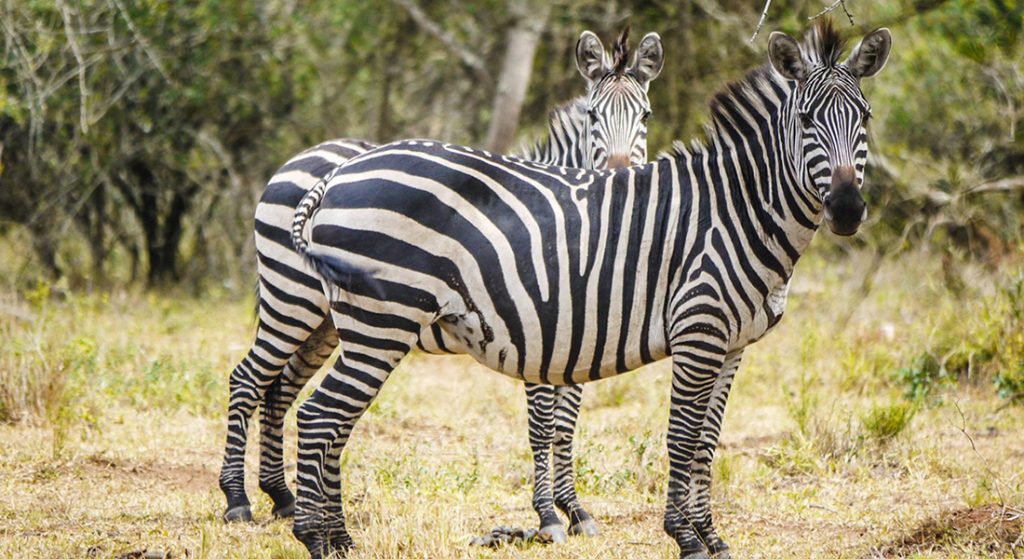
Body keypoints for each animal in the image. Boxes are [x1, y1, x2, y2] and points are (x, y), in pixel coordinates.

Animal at [218, 27, 663, 540]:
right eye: (592, 115)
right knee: (248, 379)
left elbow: (566, 424)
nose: (620, 175)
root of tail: (304, 155)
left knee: (281, 387)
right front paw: (548, 515)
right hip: (290, 297)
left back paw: (283, 497)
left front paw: (575, 510)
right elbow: (543, 424)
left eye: (646, 116)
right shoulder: (539, 328)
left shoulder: (580, 334)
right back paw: (237, 500)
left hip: (330, 321)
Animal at [288, 19, 888, 552]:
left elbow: (706, 443)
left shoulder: (733, 344)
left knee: (321, 413)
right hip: (374, 321)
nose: (846, 209)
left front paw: (712, 538)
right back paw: (316, 538)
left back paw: (336, 538)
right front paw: (683, 537)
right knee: (318, 416)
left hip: (347, 326)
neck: (736, 210)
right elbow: (679, 435)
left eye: (865, 117)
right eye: (806, 119)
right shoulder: (697, 332)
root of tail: (337, 173)